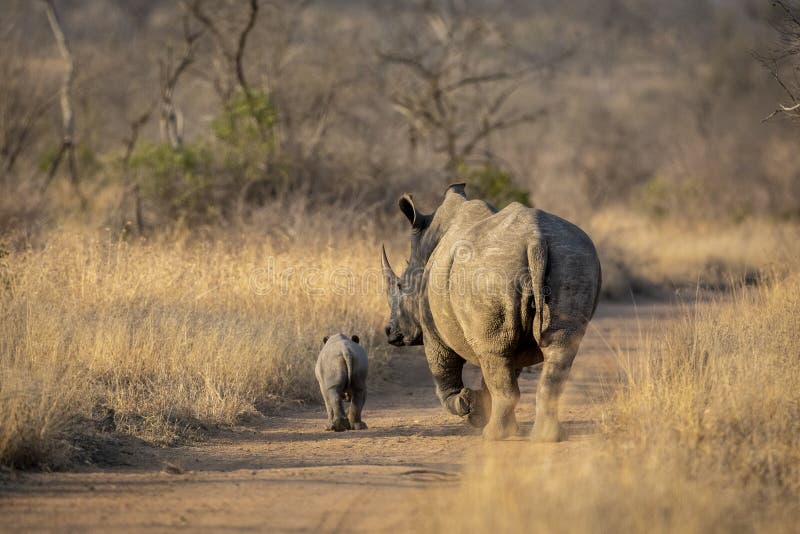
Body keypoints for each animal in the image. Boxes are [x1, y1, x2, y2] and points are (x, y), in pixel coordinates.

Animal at [382, 184, 600, 444]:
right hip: (572, 261)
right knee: (557, 348)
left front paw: (467, 405)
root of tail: (535, 240)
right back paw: (545, 437)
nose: (389, 331)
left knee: (495, 354)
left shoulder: (432, 329)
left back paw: (493, 436)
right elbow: (502, 371)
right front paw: (479, 410)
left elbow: (443, 369)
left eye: (400, 286)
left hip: (487, 273)